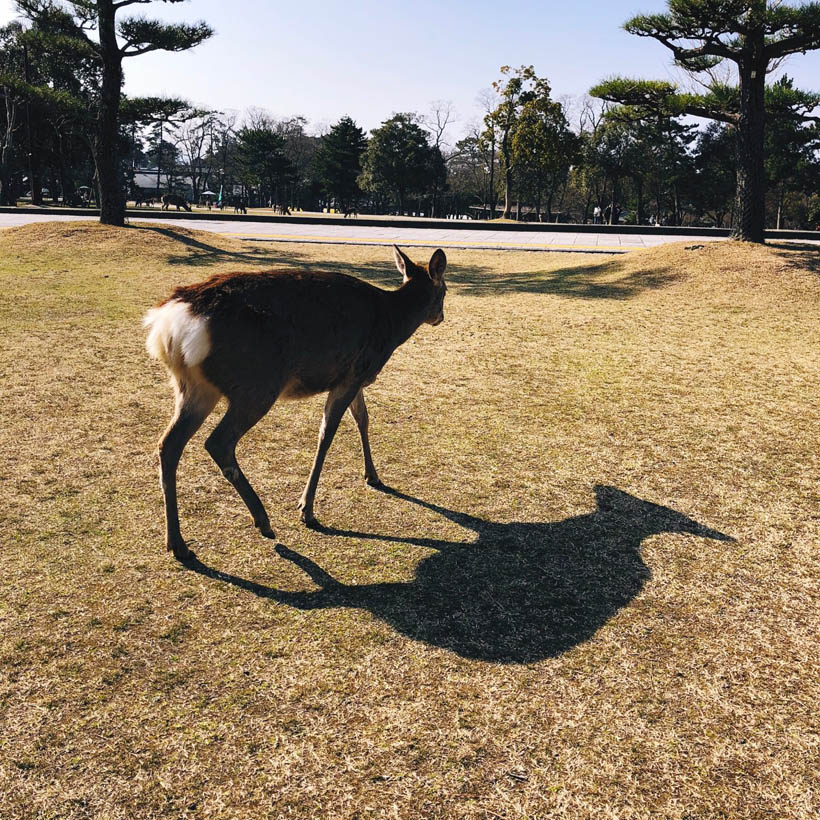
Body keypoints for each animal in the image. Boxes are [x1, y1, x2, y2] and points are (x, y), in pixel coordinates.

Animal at [142, 243, 448, 560]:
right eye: (445, 290)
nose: (441, 316)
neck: (392, 325)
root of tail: (168, 325)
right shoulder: (352, 374)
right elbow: (327, 434)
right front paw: (307, 509)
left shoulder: (353, 377)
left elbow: (362, 419)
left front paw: (373, 476)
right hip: (257, 384)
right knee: (218, 441)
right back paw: (263, 521)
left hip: (194, 388)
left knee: (169, 443)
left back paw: (177, 543)